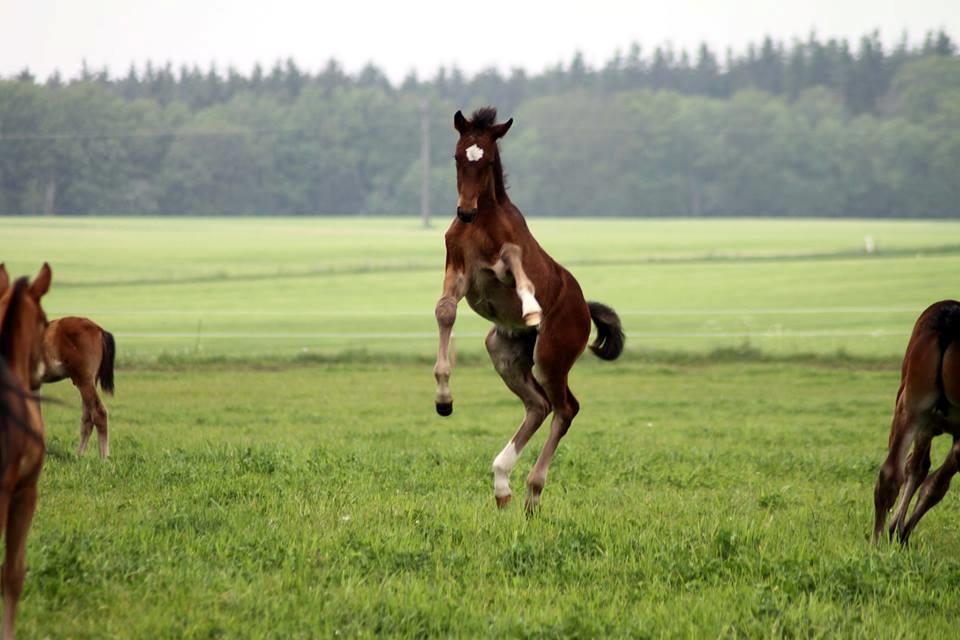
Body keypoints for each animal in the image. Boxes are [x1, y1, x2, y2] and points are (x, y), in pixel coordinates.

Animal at [434, 107, 628, 512]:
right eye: (458, 157)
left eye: (487, 161)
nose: (465, 211)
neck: (480, 225)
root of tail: (584, 309)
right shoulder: (458, 273)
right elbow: (445, 311)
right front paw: (444, 398)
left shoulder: (506, 259)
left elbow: (513, 255)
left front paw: (531, 307)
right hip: (503, 350)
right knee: (539, 405)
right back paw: (503, 484)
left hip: (552, 355)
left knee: (565, 407)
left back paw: (533, 490)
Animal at [872, 300, 956, 544]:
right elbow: (925, 474)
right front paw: (900, 529)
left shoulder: (927, 425)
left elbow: (919, 470)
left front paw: (897, 528)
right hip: (913, 408)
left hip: (909, 409)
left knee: (891, 473)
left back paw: (877, 541)